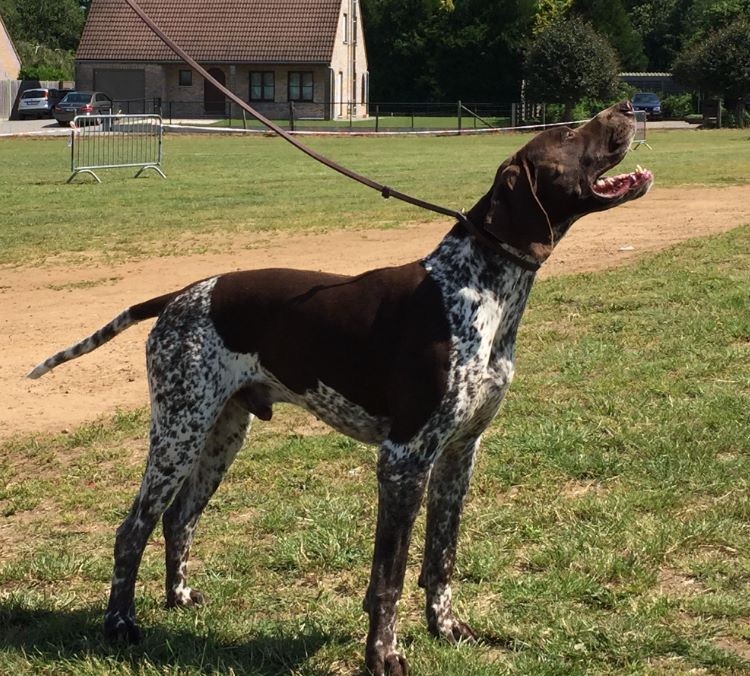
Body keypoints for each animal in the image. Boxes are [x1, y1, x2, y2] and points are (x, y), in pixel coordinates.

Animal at [29, 101, 652, 676]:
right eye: (568, 133)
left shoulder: (459, 454)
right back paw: (120, 624)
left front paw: (447, 627)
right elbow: (388, 578)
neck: (479, 288)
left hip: (221, 434)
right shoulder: (403, 461)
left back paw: (179, 597)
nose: (627, 106)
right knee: (132, 528)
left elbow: (441, 558)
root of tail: (181, 294)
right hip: (178, 433)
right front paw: (384, 656)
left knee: (179, 519)